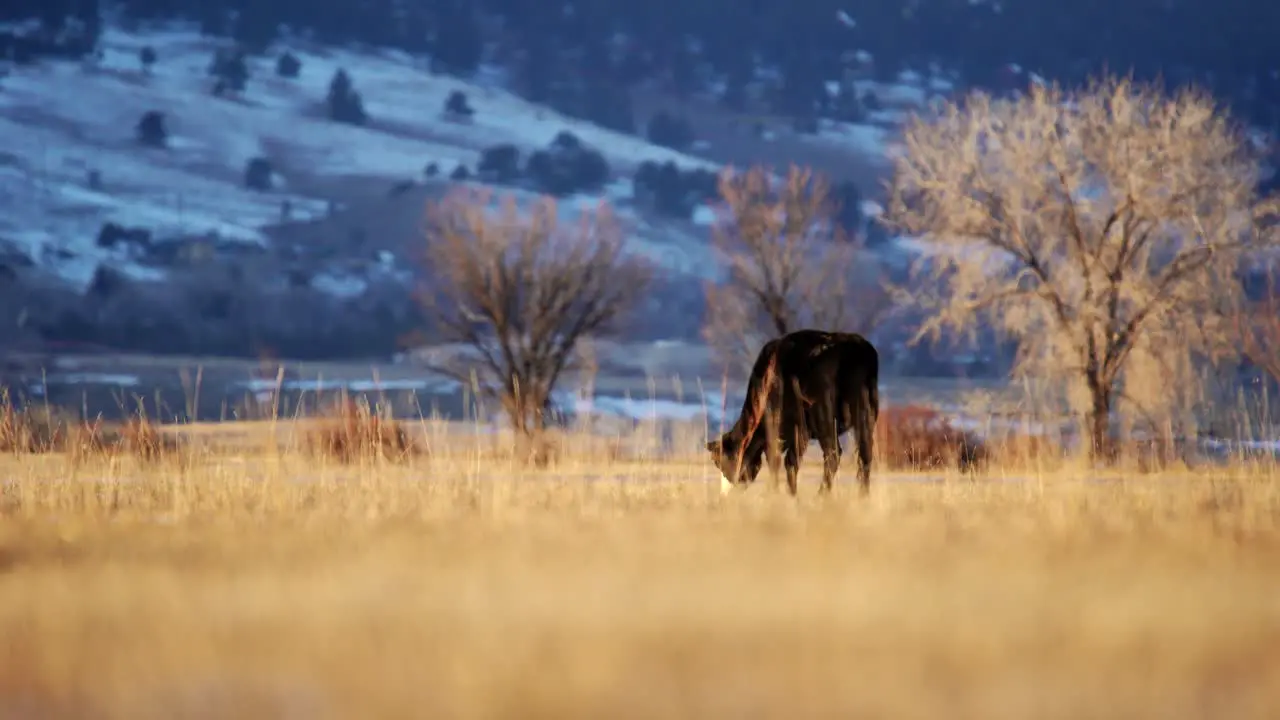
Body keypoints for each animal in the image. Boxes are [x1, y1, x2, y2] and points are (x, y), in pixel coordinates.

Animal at [711, 327, 880, 497]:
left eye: (722, 463)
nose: (724, 494)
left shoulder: (778, 424)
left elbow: (777, 459)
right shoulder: (801, 431)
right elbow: (792, 461)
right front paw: (791, 495)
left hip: (823, 414)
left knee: (833, 453)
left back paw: (821, 496)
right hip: (865, 411)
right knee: (865, 454)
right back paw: (863, 495)